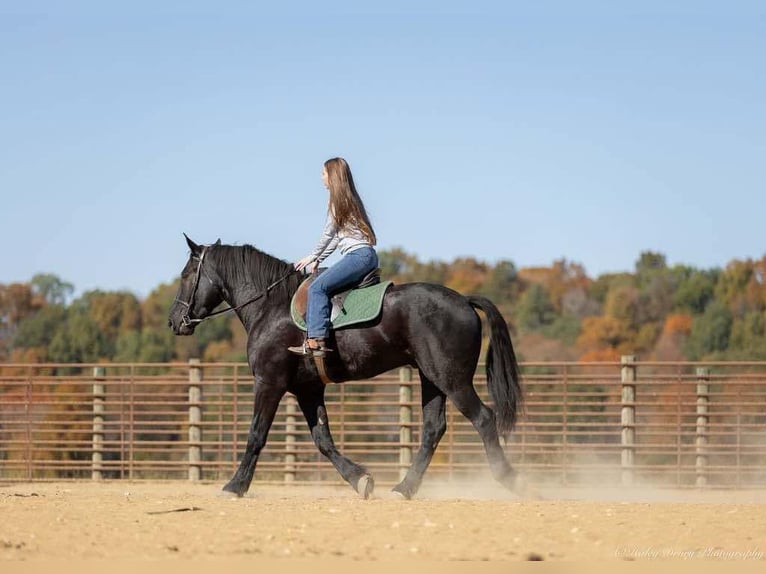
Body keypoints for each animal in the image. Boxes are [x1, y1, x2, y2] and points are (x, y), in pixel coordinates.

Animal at [168, 236, 528, 502]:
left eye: (186, 275)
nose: (174, 321)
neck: (271, 308)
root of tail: (464, 300)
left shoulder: (269, 382)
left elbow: (256, 434)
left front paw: (235, 486)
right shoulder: (308, 389)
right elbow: (323, 440)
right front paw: (361, 479)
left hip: (452, 380)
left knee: (484, 419)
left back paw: (511, 479)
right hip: (432, 379)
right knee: (433, 429)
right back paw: (404, 488)